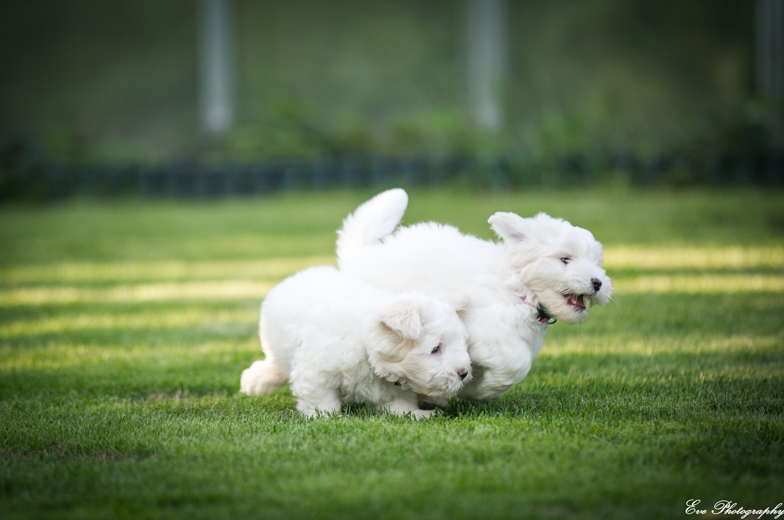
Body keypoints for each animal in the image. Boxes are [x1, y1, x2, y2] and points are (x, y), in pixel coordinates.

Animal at [239, 266, 472, 416]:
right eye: (435, 349)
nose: (464, 373)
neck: (364, 344)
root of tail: (294, 277)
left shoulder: (392, 391)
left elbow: (399, 406)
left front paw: (419, 414)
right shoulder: (315, 370)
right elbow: (321, 400)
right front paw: (327, 418)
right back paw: (255, 382)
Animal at [336, 191, 612, 402]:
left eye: (596, 262)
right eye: (565, 259)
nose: (598, 283)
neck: (515, 290)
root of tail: (360, 256)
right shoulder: (488, 332)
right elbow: (516, 362)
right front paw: (483, 390)